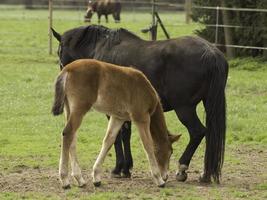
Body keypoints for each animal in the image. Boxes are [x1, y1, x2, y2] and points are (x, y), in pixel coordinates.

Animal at [51, 58, 180, 188]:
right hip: (80, 108)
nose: (165, 176)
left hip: (69, 109)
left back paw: (80, 179)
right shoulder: (141, 118)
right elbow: (147, 145)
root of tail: (67, 69)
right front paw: (158, 179)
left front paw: (96, 177)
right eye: (170, 152)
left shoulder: (118, 117)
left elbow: (108, 140)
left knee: (72, 137)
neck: (144, 88)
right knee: (68, 133)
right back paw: (65, 180)